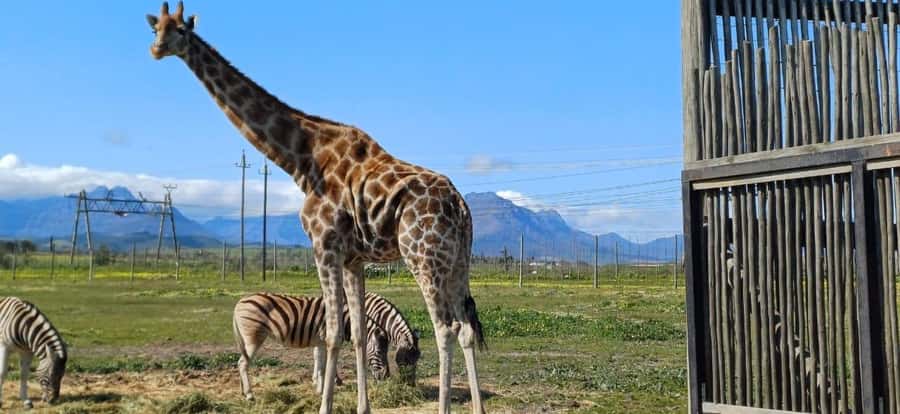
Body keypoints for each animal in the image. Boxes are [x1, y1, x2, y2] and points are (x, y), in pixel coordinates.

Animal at [145, 3, 486, 413]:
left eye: (180, 30)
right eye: (155, 28)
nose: (157, 50)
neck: (302, 160)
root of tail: (461, 207)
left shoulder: (324, 244)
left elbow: (333, 334)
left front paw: (325, 404)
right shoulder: (354, 258)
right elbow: (357, 335)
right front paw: (362, 406)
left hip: (423, 257)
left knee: (445, 329)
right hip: (458, 261)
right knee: (465, 329)